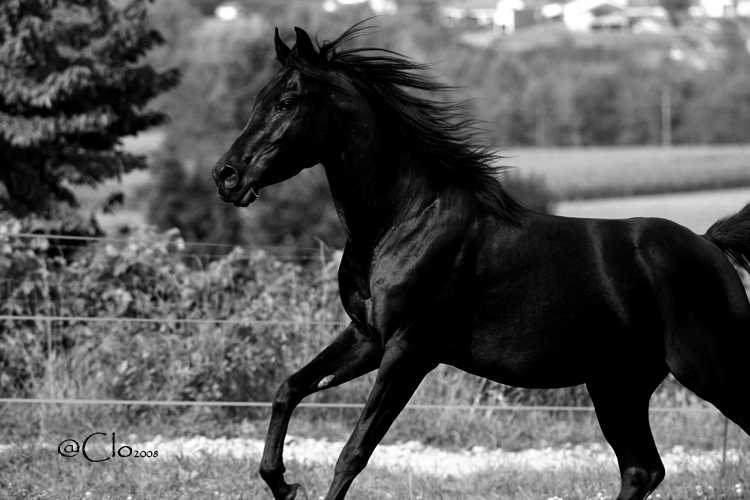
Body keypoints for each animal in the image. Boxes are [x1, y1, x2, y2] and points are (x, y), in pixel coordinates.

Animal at [213, 23, 750, 500]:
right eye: (259, 98)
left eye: (286, 102)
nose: (226, 175)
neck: (404, 221)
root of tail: (709, 245)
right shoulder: (367, 339)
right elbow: (288, 388)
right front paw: (283, 483)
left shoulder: (410, 350)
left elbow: (354, 452)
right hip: (618, 384)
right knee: (642, 471)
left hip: (708, 370)